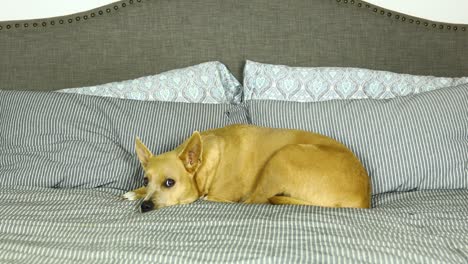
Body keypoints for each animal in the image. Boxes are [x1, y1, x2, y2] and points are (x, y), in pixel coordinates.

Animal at [122, 124, 372, 212]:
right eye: (145, 180)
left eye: (170, 183)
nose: (145, 207)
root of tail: (364, 199)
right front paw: (135, 192)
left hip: (283, 156)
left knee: (255, 200)